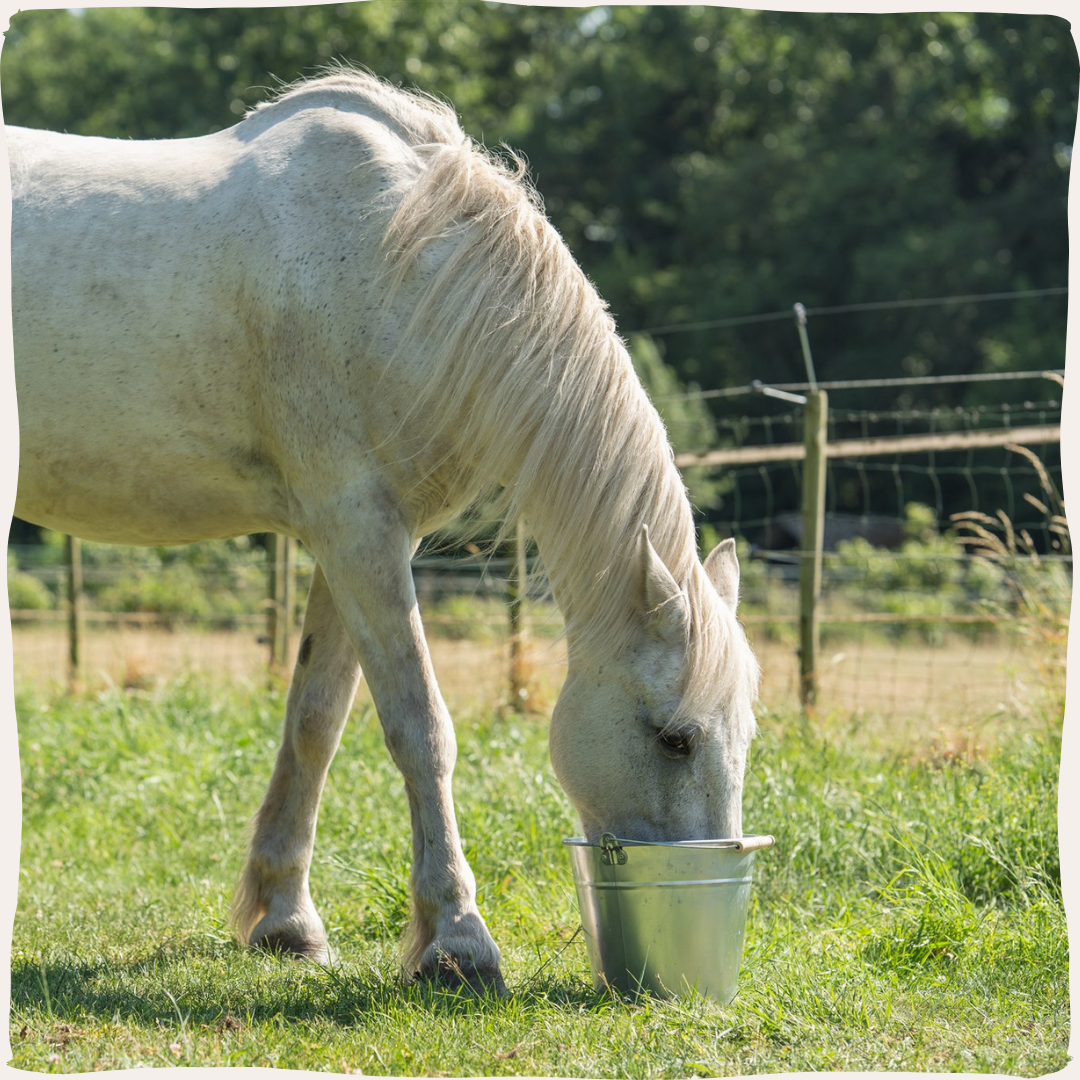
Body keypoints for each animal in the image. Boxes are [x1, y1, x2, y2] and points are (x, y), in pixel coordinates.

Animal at [9, 69, 759, 994]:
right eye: (675, 738)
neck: (401, 260)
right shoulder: (355, 529)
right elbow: (418, 726)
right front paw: (459, 942)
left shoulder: (358, 541)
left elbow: (316, 721)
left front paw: (286, 923)